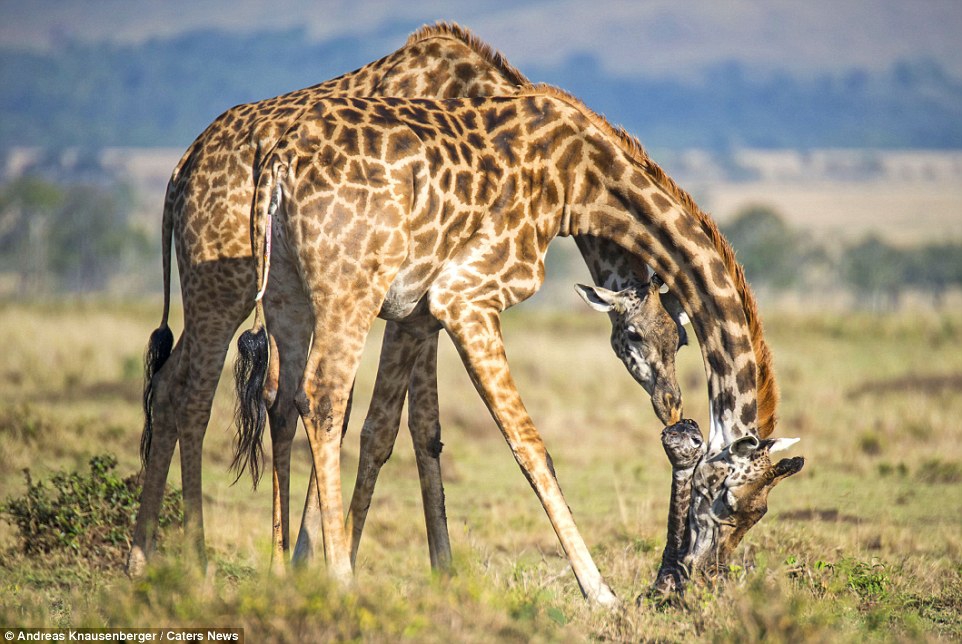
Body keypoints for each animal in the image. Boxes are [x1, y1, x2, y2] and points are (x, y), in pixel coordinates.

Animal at [129, 23, 684, 580]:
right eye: (632, 335)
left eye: (677, 339)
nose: (672, 406)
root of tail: (179, 171)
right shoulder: (438, 300)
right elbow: (390, 427)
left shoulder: (418, 310)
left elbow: (420, 427)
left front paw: (430, 566)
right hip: (236, 289)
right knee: (231, 396)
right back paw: (209, 565)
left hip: (266, 292)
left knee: (207, 388)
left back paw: (156, 560)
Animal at [238, 84, 804, 604]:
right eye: (728, 500)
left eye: (681, 338)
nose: (704, 581)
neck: (581, 183)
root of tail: (280, 163)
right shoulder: (463, 297)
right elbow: (529, 446)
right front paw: (600, 594)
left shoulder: (419, 311)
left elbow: (392, 430)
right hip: (349, 289)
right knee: (322, 397)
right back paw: (340, 583)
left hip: (287, 288)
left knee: (280, 401)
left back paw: (278, 574)